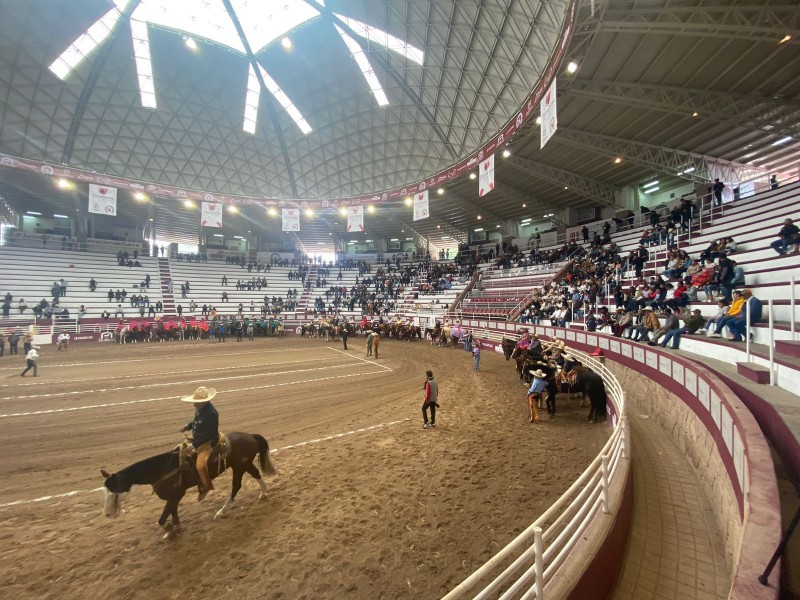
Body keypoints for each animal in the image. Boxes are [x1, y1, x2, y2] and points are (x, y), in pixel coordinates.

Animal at [101, 432, 276, 540]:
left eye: (112, 490)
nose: (108, 514)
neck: (162, 468)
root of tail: (250, 435)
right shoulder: (174, 496)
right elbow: (172, 510)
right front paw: (175, 528)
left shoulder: (178, 493)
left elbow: (163, 518)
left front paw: (169, 529)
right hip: (243, 465)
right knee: (255, 474)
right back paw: (263, 493)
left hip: (239, 467)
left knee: (236, 486)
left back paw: (221, 511)